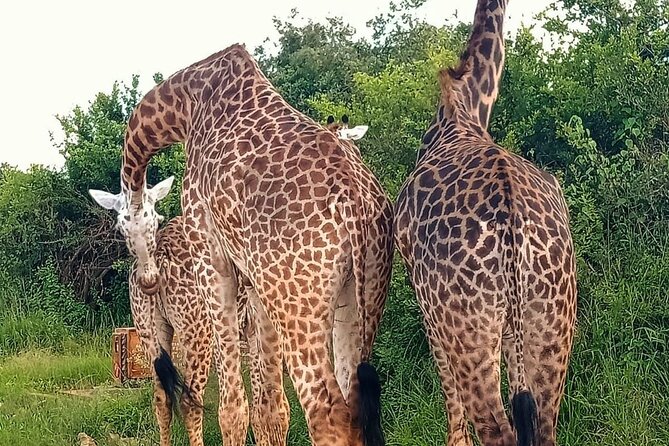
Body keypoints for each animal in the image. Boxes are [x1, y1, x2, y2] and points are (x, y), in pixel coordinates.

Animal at [87, 183, 291, 446]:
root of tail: (160, 255)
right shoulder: (255, 327)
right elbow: (264, 408)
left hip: (149, 327)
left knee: (161, 398)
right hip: (198, 330)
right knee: (190, 400)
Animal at [394, 0, 577, 445]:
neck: (466, 107)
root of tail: (512, 224)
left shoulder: (429, 310)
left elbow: (452, 405)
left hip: (470, 326)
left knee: (496, 427)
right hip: (552, 316)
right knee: (543, 425)